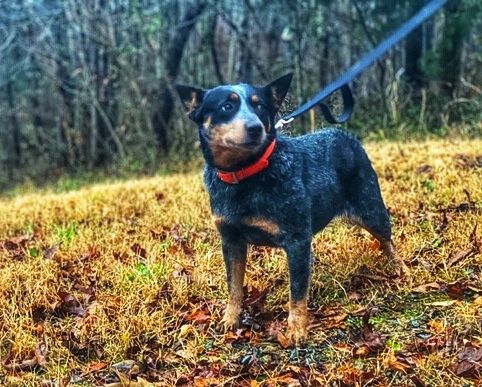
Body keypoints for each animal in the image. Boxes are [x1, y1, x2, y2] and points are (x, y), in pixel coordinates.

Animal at [175, 74, 408, 344]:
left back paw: (402, 270)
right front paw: (230, 319)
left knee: (388, 240)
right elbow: (233, 286)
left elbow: (296, 292)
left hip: (370, 208)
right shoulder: (231, 240)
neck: (245, 176)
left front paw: (297, 329)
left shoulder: (297, 241)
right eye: (227, 106)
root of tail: (344, 135)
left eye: (260, 106)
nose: (255, 127)